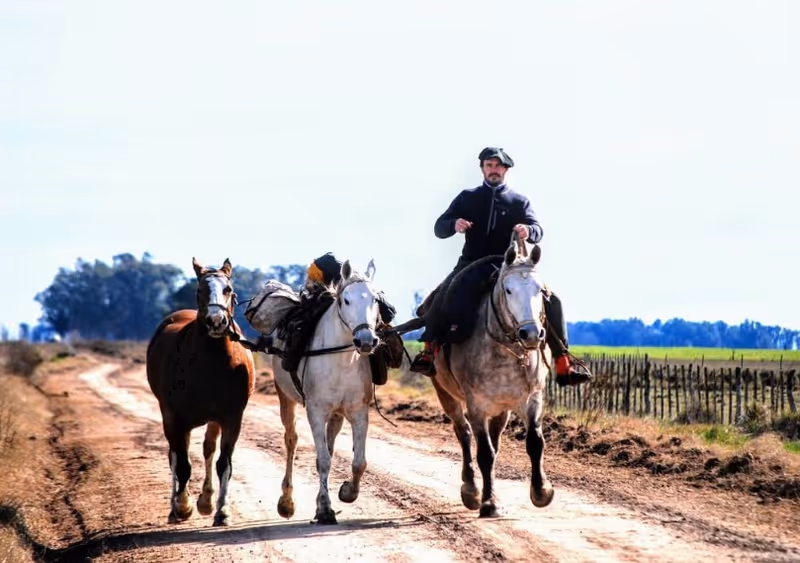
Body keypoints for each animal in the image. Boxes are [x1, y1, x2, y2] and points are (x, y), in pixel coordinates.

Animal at [146, 257, 255, 526]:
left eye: (228, 289)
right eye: (200, 290)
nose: (216, 321)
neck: (210, 363)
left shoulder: (231, 418)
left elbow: (223, 463)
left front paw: (221, 511)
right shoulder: (174, 417)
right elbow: (182, 464)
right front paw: (182, 506)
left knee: (207, 450)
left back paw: (206, 500)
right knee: (175, 456)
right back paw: (175, 506)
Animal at [270, 258, 382, 525]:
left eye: (375, 299)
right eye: (346, 300)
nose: (366, 340)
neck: (341, 359)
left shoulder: (358, 412)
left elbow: (359, 462)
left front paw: (347, 493)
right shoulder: (316, 411)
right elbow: (322, 460)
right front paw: (324, 509)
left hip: (337, 415)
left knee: (329, 446)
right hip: (285, 397)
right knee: (291, 441)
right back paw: (286, 502)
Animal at [430, 237, 554, 517]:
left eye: (540, 290)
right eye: (508, 290)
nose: (532, 334)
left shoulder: (532, 399)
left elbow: (534, 442)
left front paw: (541, 491)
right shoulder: (477, 405)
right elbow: (484, 452)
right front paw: (488, 503)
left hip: (502, 409)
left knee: (494, 441)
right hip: (446, 395)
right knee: (464, 434)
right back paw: (471, 489)